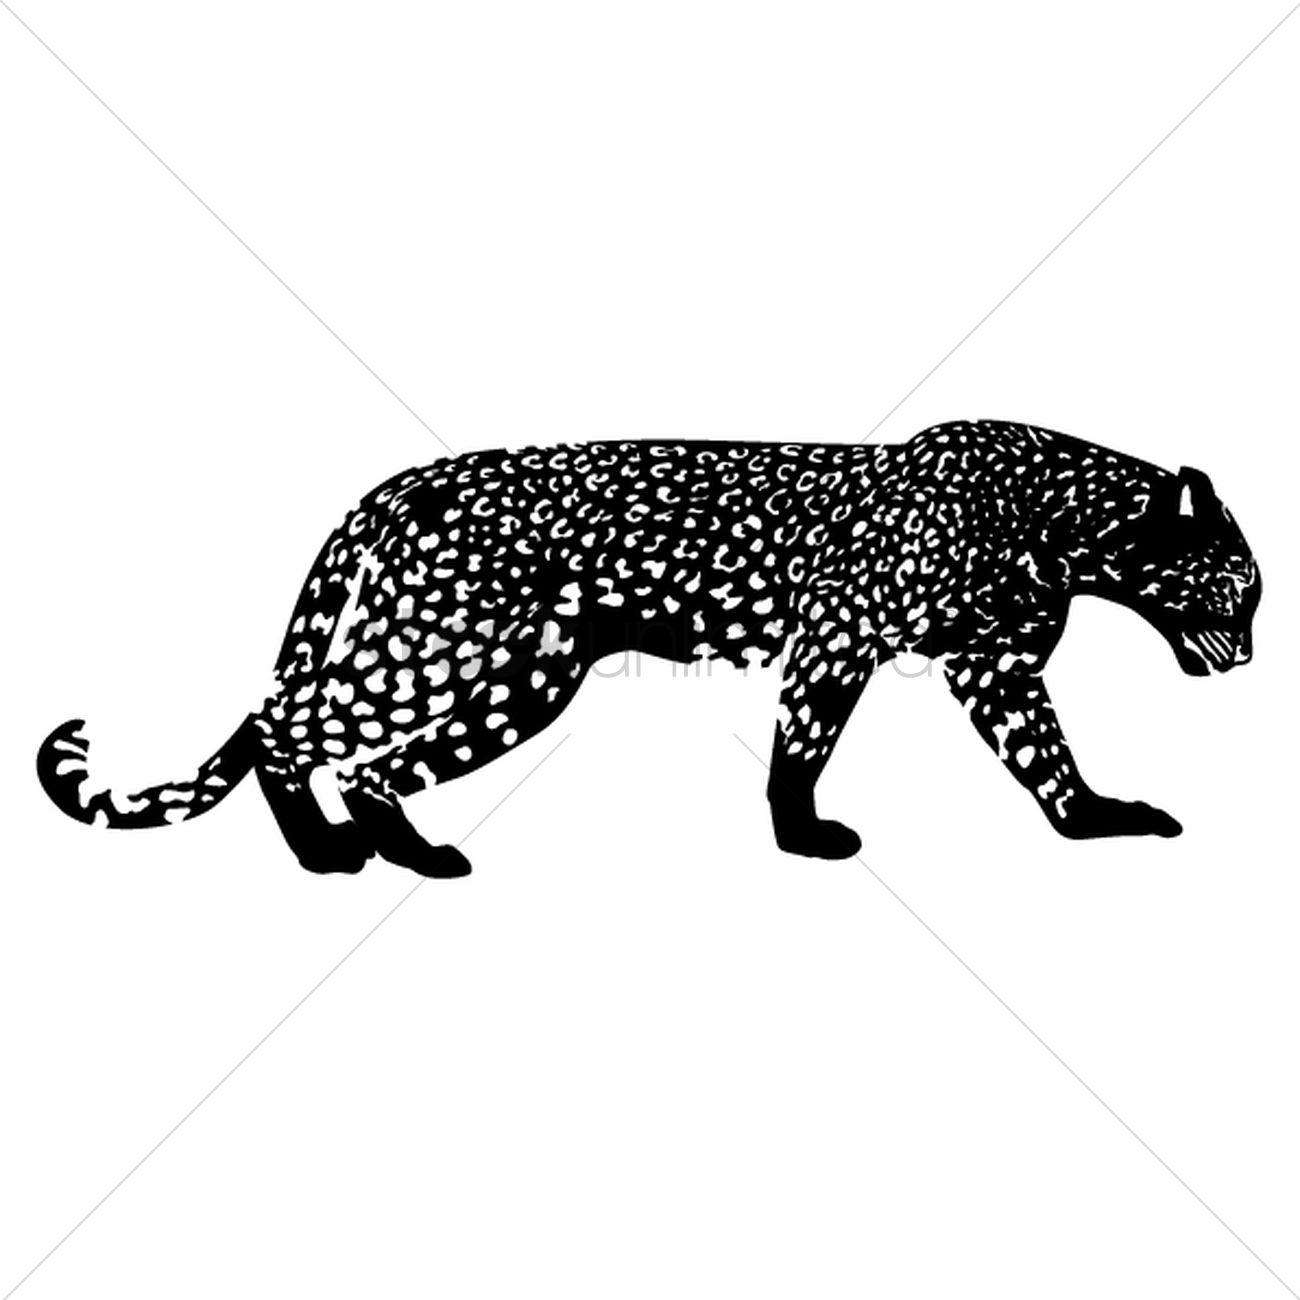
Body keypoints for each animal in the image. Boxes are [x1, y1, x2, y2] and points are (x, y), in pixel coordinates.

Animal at [37, 420, 1260, 877]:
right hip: (438, 645)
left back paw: (406, 850)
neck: (1059, 531)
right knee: (280, 723)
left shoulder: (994, 667)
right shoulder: (838, 639)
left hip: (523, 678)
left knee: (370, 759)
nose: (1249, 655)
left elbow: (1045, 755)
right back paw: (326, 851)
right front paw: (802, 835)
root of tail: (404, 482)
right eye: (1238, 587)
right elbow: (803, 747)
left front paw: (1096, 819)